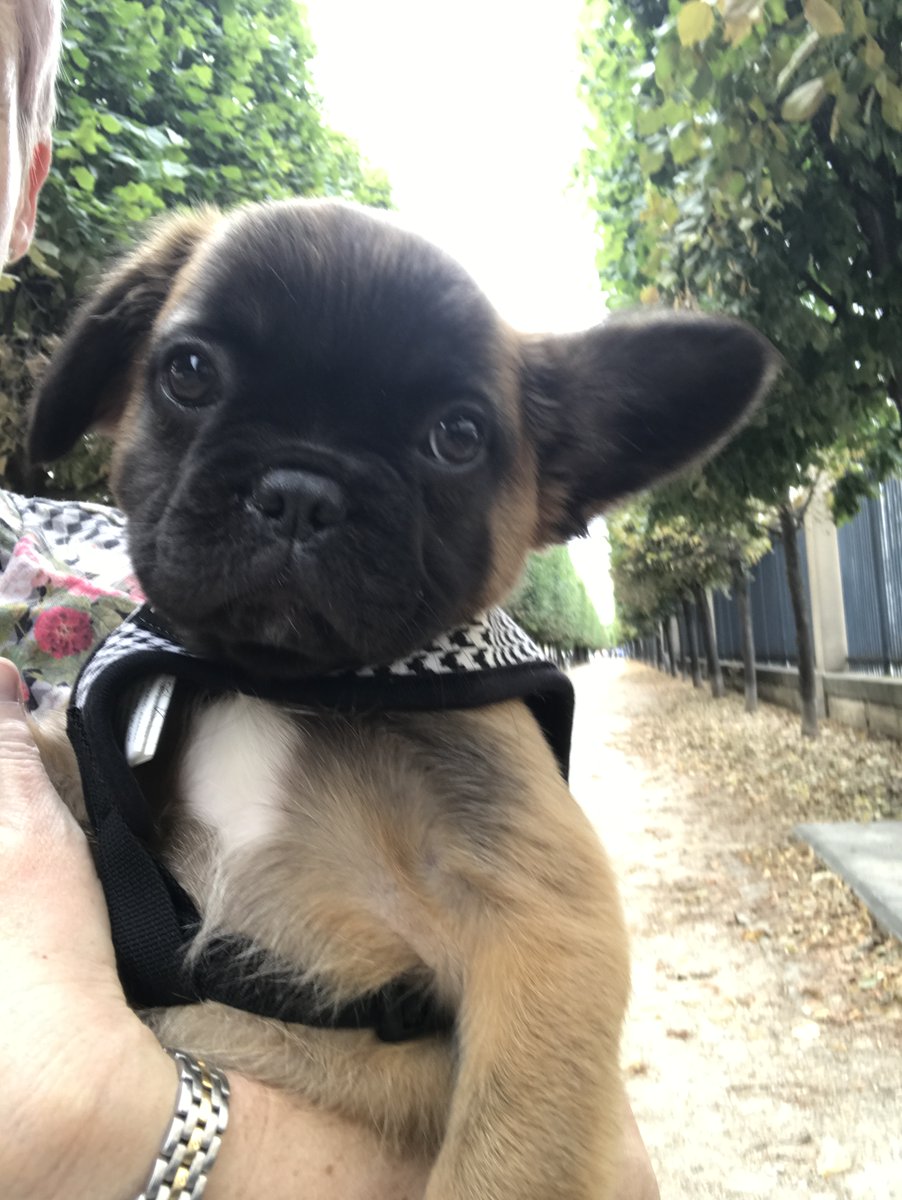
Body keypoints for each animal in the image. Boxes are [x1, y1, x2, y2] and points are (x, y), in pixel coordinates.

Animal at [28, 199, 777, 1200]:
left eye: (457, 437)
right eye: (189, 372)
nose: (299, 490)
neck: (273, 681)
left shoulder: (543, 938)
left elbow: (501, 1163)